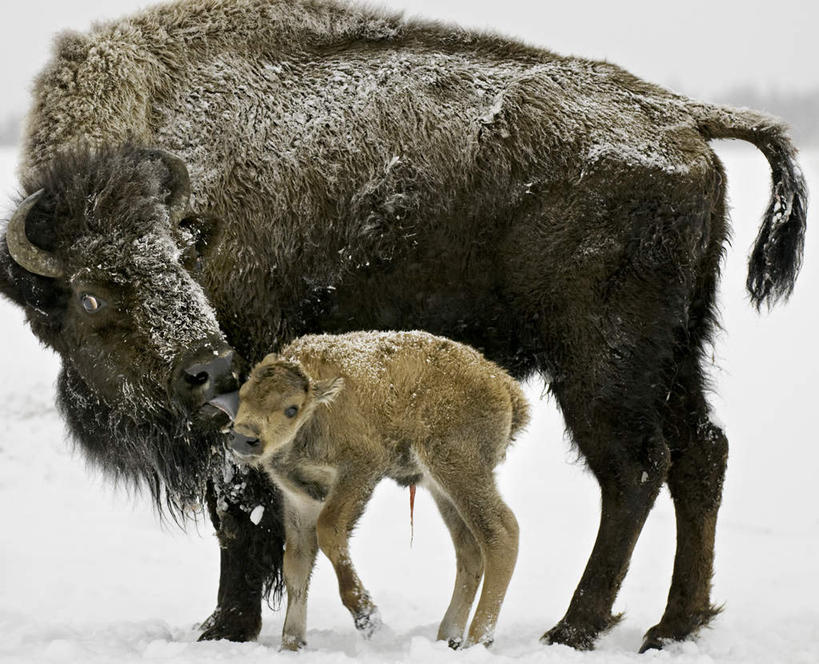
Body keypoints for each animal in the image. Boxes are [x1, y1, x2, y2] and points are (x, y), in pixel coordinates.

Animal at [227, 330, 528, 648]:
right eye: (243, 394)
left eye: (291, 409)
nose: (243, 438)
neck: (317, 412)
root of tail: (504, 385)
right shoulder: (299, 500)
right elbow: (296, 564)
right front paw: (292, 644)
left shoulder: (361, 469)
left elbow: (329, 531)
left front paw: (368, 618)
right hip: (441, 488)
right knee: (469, 548)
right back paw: (449, 636)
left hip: (459, 468)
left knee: (501, 532)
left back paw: (478, 639)